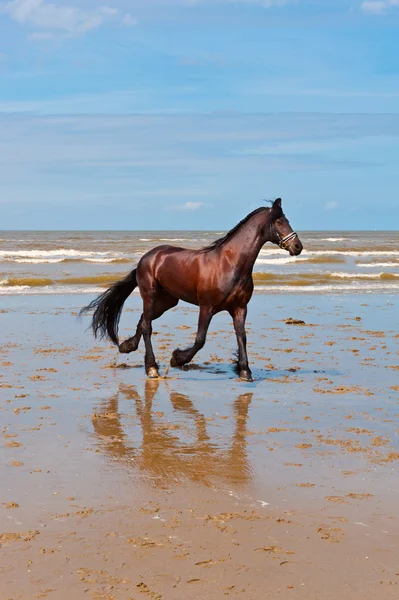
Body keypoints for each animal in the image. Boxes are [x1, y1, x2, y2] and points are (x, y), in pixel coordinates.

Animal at [83, 199, 304, 382]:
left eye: (287, 220)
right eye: (279, 222)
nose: (297, 246)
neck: (230, 264)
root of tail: (147, 258)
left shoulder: (240, 308)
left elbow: (241, 336)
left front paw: (244, 371)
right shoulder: (206, 307)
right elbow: (200, 340)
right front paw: (177, 359)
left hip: (166, 301)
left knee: (143, 322)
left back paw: (128, 348)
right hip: (150, 296)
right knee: (146, 327)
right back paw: (152, 368)